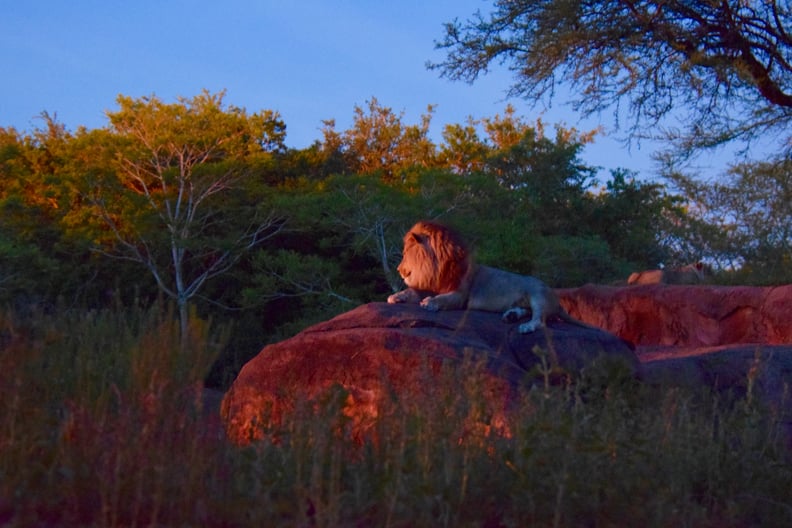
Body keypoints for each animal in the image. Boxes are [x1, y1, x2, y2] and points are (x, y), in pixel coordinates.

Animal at [386, 221, 600, 332]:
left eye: (404, 253)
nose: (398, 269)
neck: (437, 268)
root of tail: (556, 300)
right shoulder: (430, 285)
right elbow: (413, 290)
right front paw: (397, 296)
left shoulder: (461, 295)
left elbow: (444, 298)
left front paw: (430, 302)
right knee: (530, 312)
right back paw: (511, 316)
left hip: (537, 292)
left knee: (540, 319)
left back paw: (525, 326)